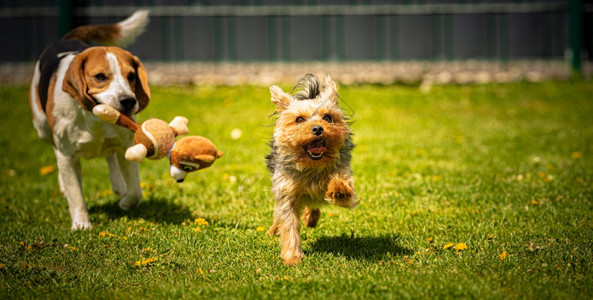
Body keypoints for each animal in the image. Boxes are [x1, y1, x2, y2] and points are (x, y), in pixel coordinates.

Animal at [29, 9, 150, 230]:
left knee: (110, 155)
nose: (128, 101)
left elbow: (136, 192)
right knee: (55, 150)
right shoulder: (67, 155)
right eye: (100, 76)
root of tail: (66, 39)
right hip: (42, 128)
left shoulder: (127, 145)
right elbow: (76, 194)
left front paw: (125, 203)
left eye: (131, 76)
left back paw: (119, 184)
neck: (95, 116)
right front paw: (81, 224)